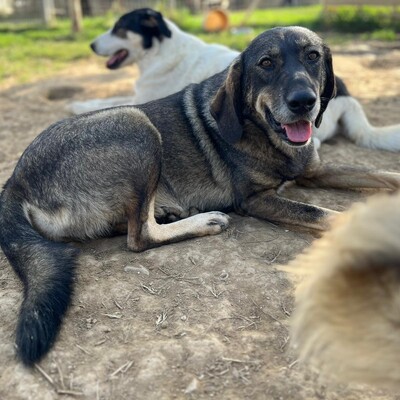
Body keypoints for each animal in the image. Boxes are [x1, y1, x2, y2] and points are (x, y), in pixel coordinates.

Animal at [0, 27, 400, 366]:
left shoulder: (315, 171)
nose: (304, 101)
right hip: (137, 124)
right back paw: (202, 221)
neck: (261, 130)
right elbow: (329, 214)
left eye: (313, 56)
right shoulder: (256, 200)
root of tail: (15, 180)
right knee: (139, 236)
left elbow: (383, 175)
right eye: (266, 63)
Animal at [69, 8, 400, 152]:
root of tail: (345, 92)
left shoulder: (143, 97)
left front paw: (79, 106)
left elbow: (109, 101)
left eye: (118, 28)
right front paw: (79, 104)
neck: (160, 52)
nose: (91, 45)